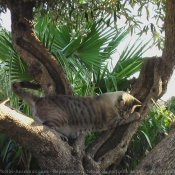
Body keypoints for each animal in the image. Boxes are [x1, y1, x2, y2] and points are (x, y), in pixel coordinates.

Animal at [11, 81, 142, 139]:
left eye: (127, 112)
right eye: (122, 112)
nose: (124, 116)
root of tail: (39, 99)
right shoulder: (113, 121)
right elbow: (130, 119)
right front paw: (138, 115)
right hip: (59, 118)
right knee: (48, 127)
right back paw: (62, 137)